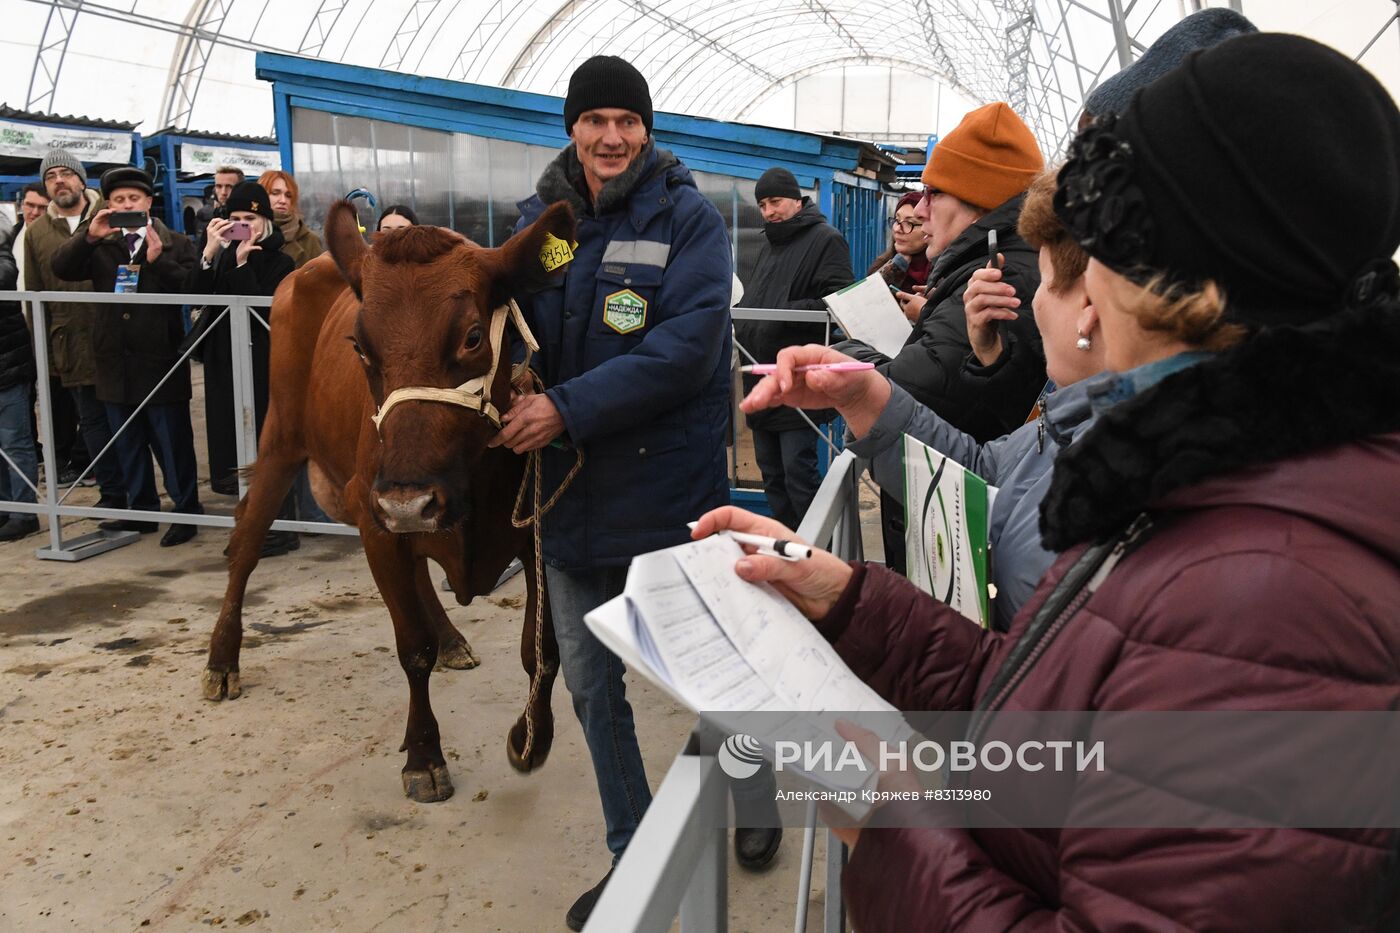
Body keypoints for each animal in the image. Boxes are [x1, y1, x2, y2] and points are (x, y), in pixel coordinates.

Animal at [201, 196, 574, 801]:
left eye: (473, 336)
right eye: (359, 346)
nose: (407, 500)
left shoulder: (538, 531)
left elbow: (540, 648)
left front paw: (531, 736)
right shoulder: (377, 522)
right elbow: (412, 649)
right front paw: (423, 755)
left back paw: (452, 638)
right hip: (282, 437)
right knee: (247, 540)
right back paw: (220, 659)